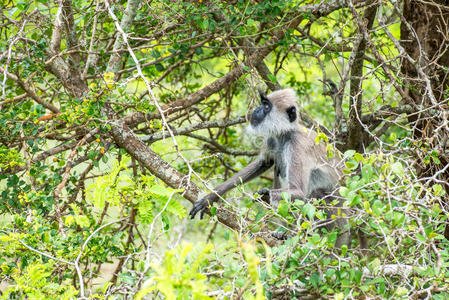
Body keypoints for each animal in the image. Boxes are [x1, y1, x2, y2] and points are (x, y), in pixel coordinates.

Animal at [189, 88, 350, 248]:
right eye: (262, 103)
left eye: (266, 106)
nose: (256, 109)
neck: (285, 134)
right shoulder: (273, 138)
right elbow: (264, 163)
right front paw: (211, 196)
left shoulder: (296, 145)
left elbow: (298, 191)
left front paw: (265, 194)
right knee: (278, 168)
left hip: (337, 219)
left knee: (316, 194)